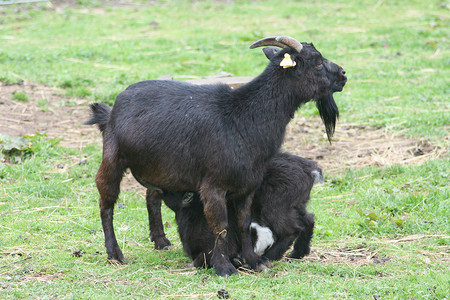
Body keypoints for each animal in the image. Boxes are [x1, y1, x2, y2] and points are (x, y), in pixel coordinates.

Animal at [161, 152, 320, 268]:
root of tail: (310, 169)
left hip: (275, 207)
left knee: (292, 229)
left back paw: (268, 257)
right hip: (294, 205)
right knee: (308, 220)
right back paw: (297, 253)